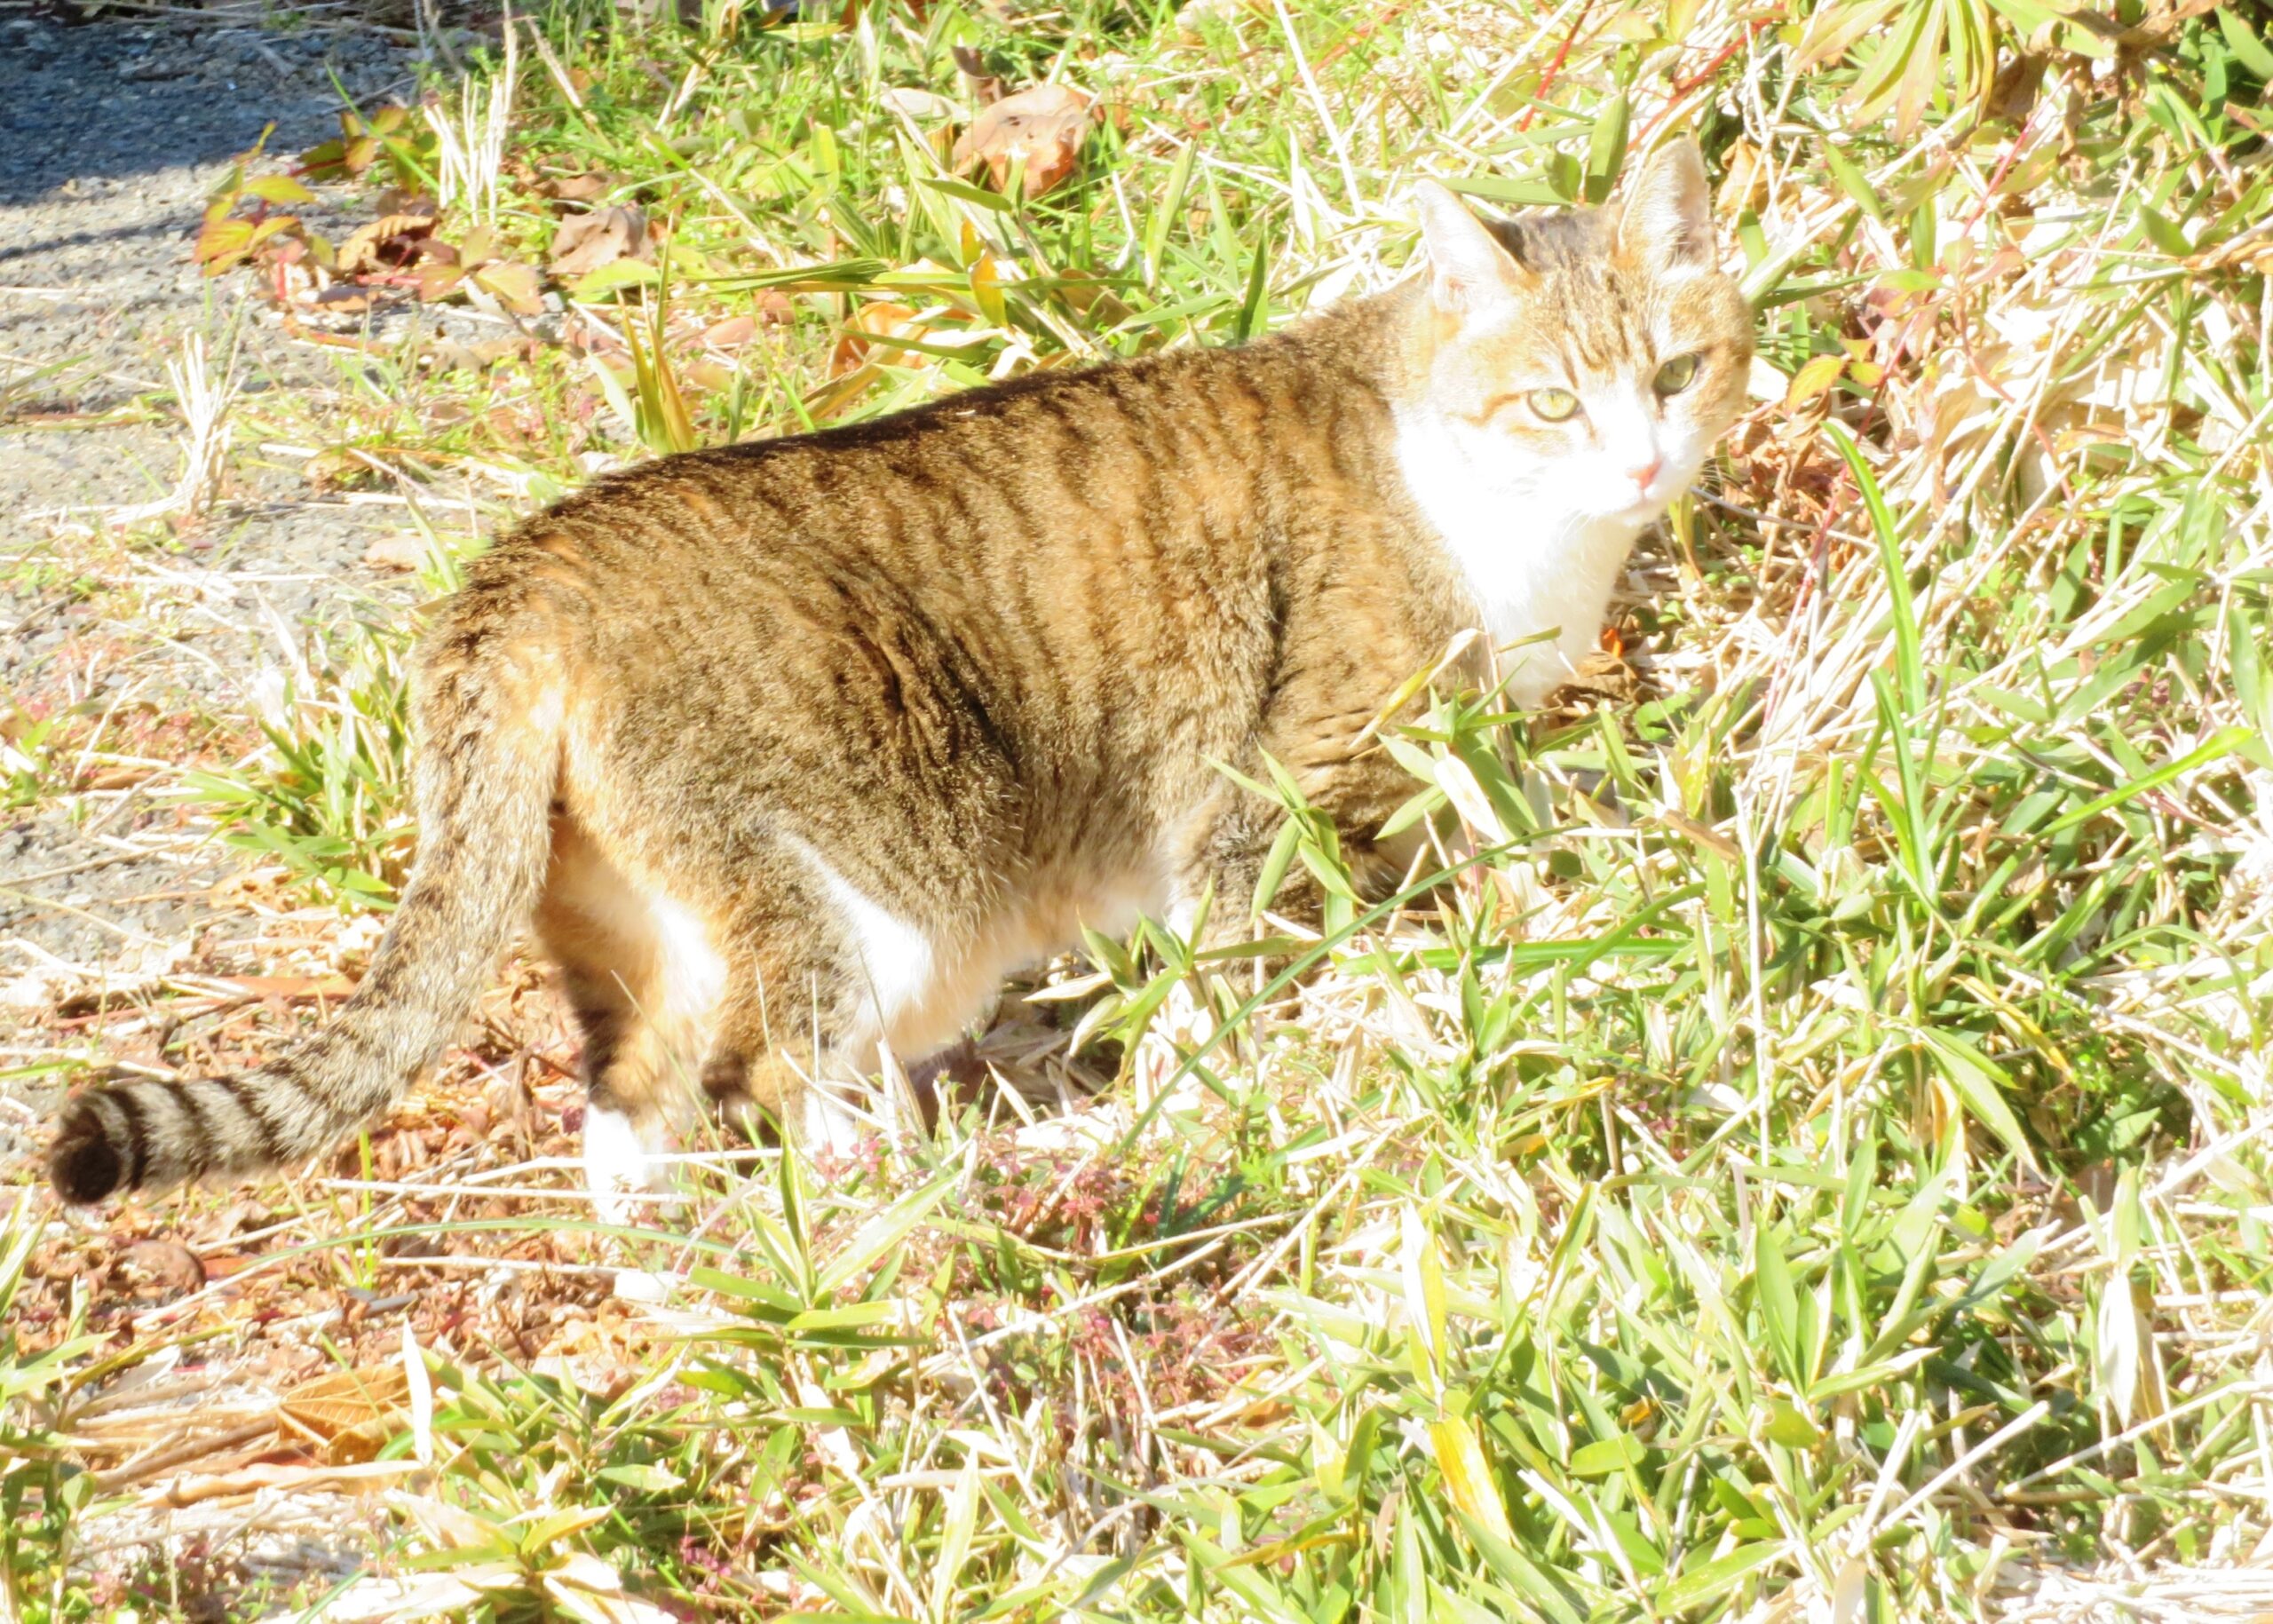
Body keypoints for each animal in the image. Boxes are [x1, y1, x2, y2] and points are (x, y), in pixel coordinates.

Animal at [49, 136, 1754, 1200]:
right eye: (1552, 402)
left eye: (1681, 370)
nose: (1645, 459)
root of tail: (529, 567)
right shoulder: (1273, 778)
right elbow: (1234, 959)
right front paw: (1215, 1093)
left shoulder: (1454, 750)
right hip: (855, 894)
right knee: (773, 1078)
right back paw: (890, 1233)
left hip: (643, 917)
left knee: (628, 1100)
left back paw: (701, 1300)